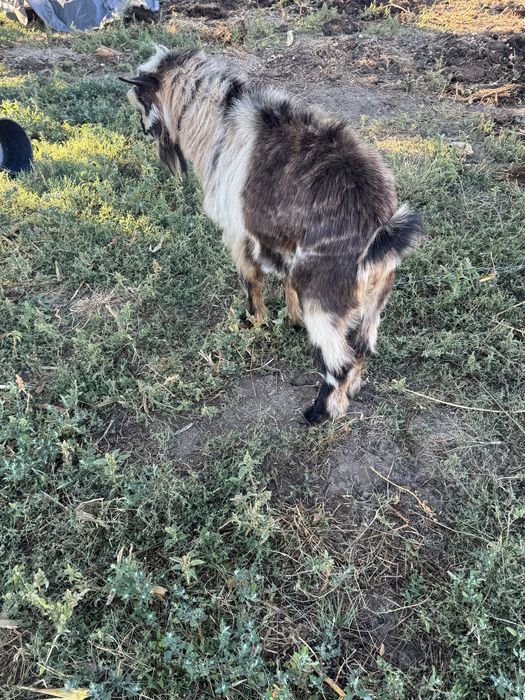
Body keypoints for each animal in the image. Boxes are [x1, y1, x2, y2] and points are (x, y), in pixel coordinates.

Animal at [121, 47, 423, 424]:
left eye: (142, 99)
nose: (142, 130)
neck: (217, 117)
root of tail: (380, 230)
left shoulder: (238, 235)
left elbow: (251, 280)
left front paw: (252, 321)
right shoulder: (282, 243)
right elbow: (285, 282)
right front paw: (292, 321)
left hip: (323, 301)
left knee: (338, 362)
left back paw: (319, 412)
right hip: (374, 302)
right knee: (362, 348)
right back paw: (348, 392)